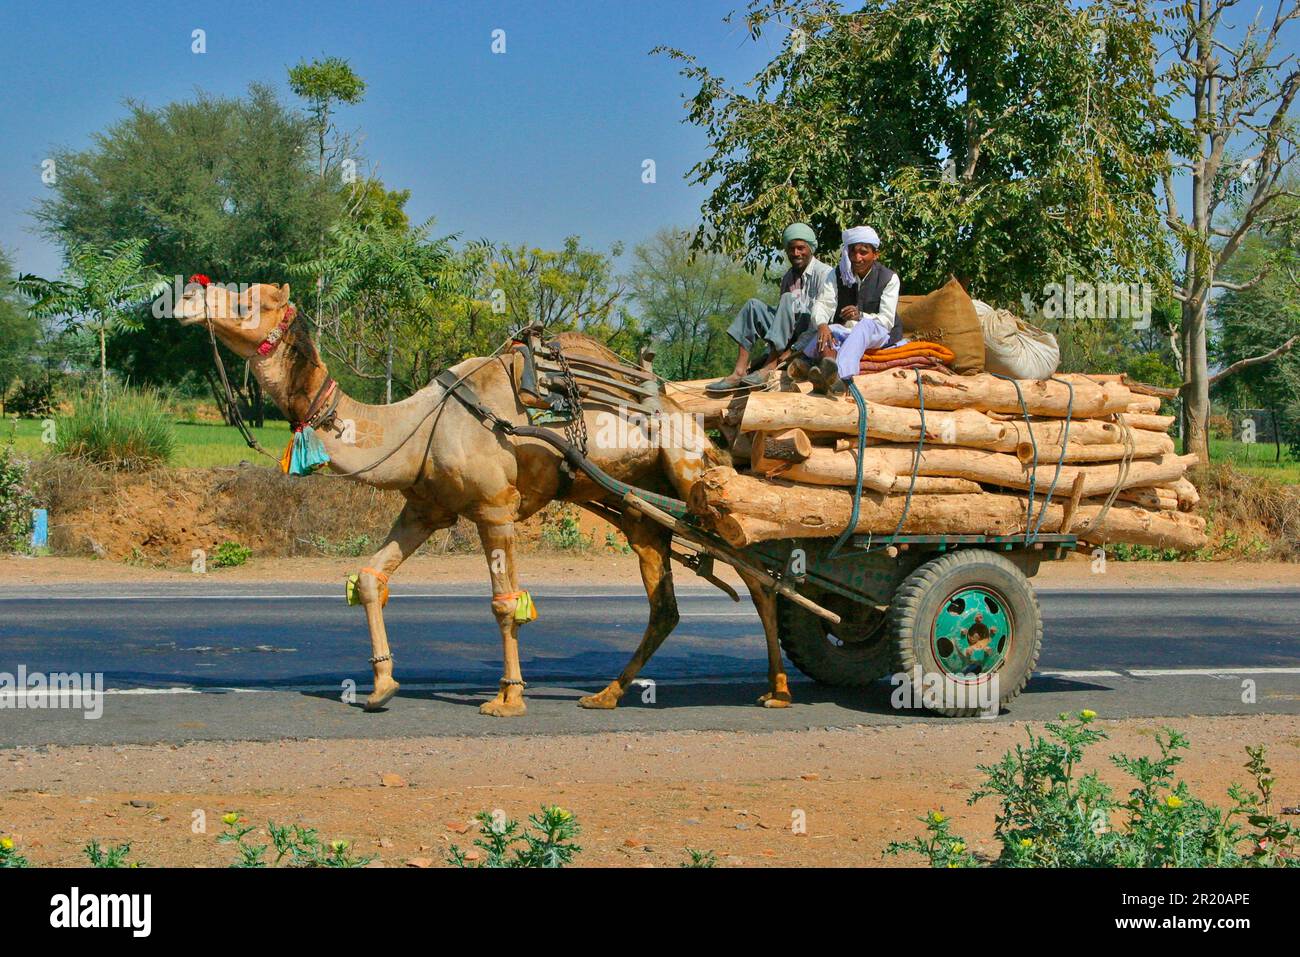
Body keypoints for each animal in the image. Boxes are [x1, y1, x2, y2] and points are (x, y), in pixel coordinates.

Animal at [174, 280, 796, 716]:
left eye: (249, 298)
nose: (185, 294)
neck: (414, 427)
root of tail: (689, 419)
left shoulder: (495, 508)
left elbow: (504, 602)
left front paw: (508, 697)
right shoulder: (425, 508)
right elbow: (371, 578)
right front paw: (381, 686)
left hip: (693, 478)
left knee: (760, 576)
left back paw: (778, 690)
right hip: (641, 511)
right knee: (665, 604)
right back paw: (606, 694)